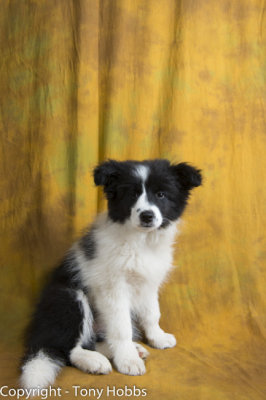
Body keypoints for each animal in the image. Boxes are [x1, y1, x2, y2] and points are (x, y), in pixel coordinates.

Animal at [20, 159, 202, 388]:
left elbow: (152, 313)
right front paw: (128, 361)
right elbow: (121, 326)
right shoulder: (113, 288)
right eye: (131, 194)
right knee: (67, 348)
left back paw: (130, 349)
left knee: (92, 340)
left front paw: (157, 338)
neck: (140, 242)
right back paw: (95, 361)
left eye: (161, 194)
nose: (147, 216)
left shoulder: (148, 283)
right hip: (67, 297)